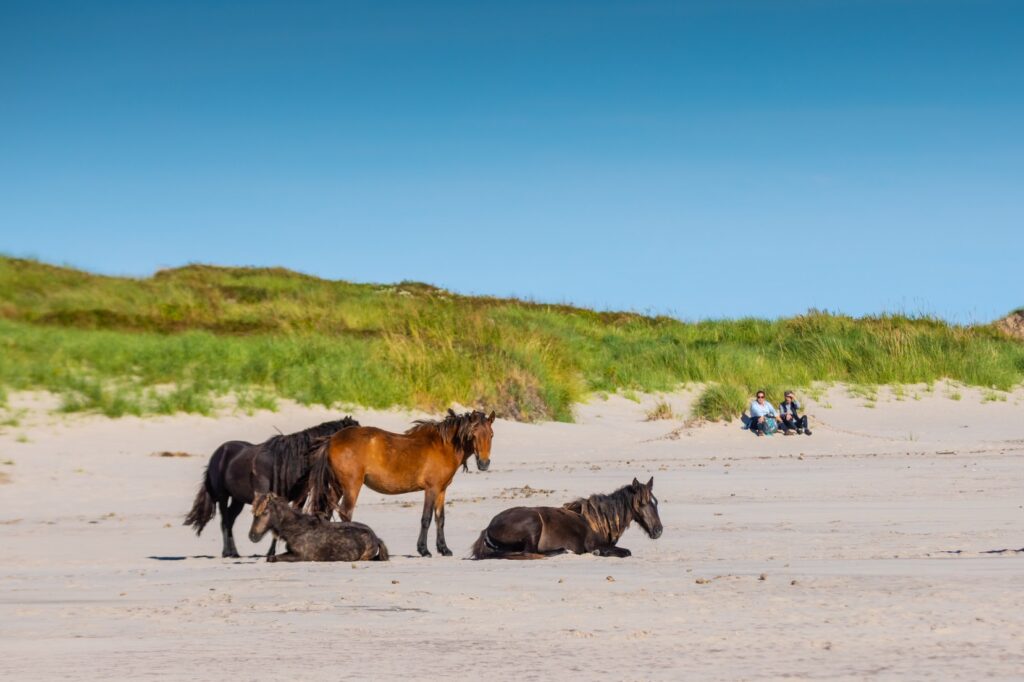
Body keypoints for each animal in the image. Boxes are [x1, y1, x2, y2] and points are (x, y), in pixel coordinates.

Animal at [182, 413, 358, 557]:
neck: (290, 461)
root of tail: (218, 454)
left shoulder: (300, 497)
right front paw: (272, 552)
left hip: (238, 500)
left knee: (230, 520)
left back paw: (235, 553)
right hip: (222, 496)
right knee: (224, 521)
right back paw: (228, 553)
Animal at [247, 491, 387, 561]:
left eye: (265, 512)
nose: (252, 536)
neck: (296, 528)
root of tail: (376, 538)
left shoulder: (301, 556)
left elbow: (272, 558)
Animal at [303, 405, 495, 557]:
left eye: (491, 434)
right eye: (473, 435)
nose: (484, 463)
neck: (443, 446)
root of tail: (332, 439)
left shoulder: (441, 490)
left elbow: (440, 519)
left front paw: (444, 549)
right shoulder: (431, 489)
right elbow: (426, 518)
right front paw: (424, 550)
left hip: (337, 487)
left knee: (327, 512)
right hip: (351, 486)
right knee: (345, 513)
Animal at [471, 475, 663, 561]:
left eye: (655, 502)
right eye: (642, 503)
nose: (658, 531)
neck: (599, 520)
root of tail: (488, 528)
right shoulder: (594, 544)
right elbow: (624, 552)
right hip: (533, 524)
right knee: (529, 552)